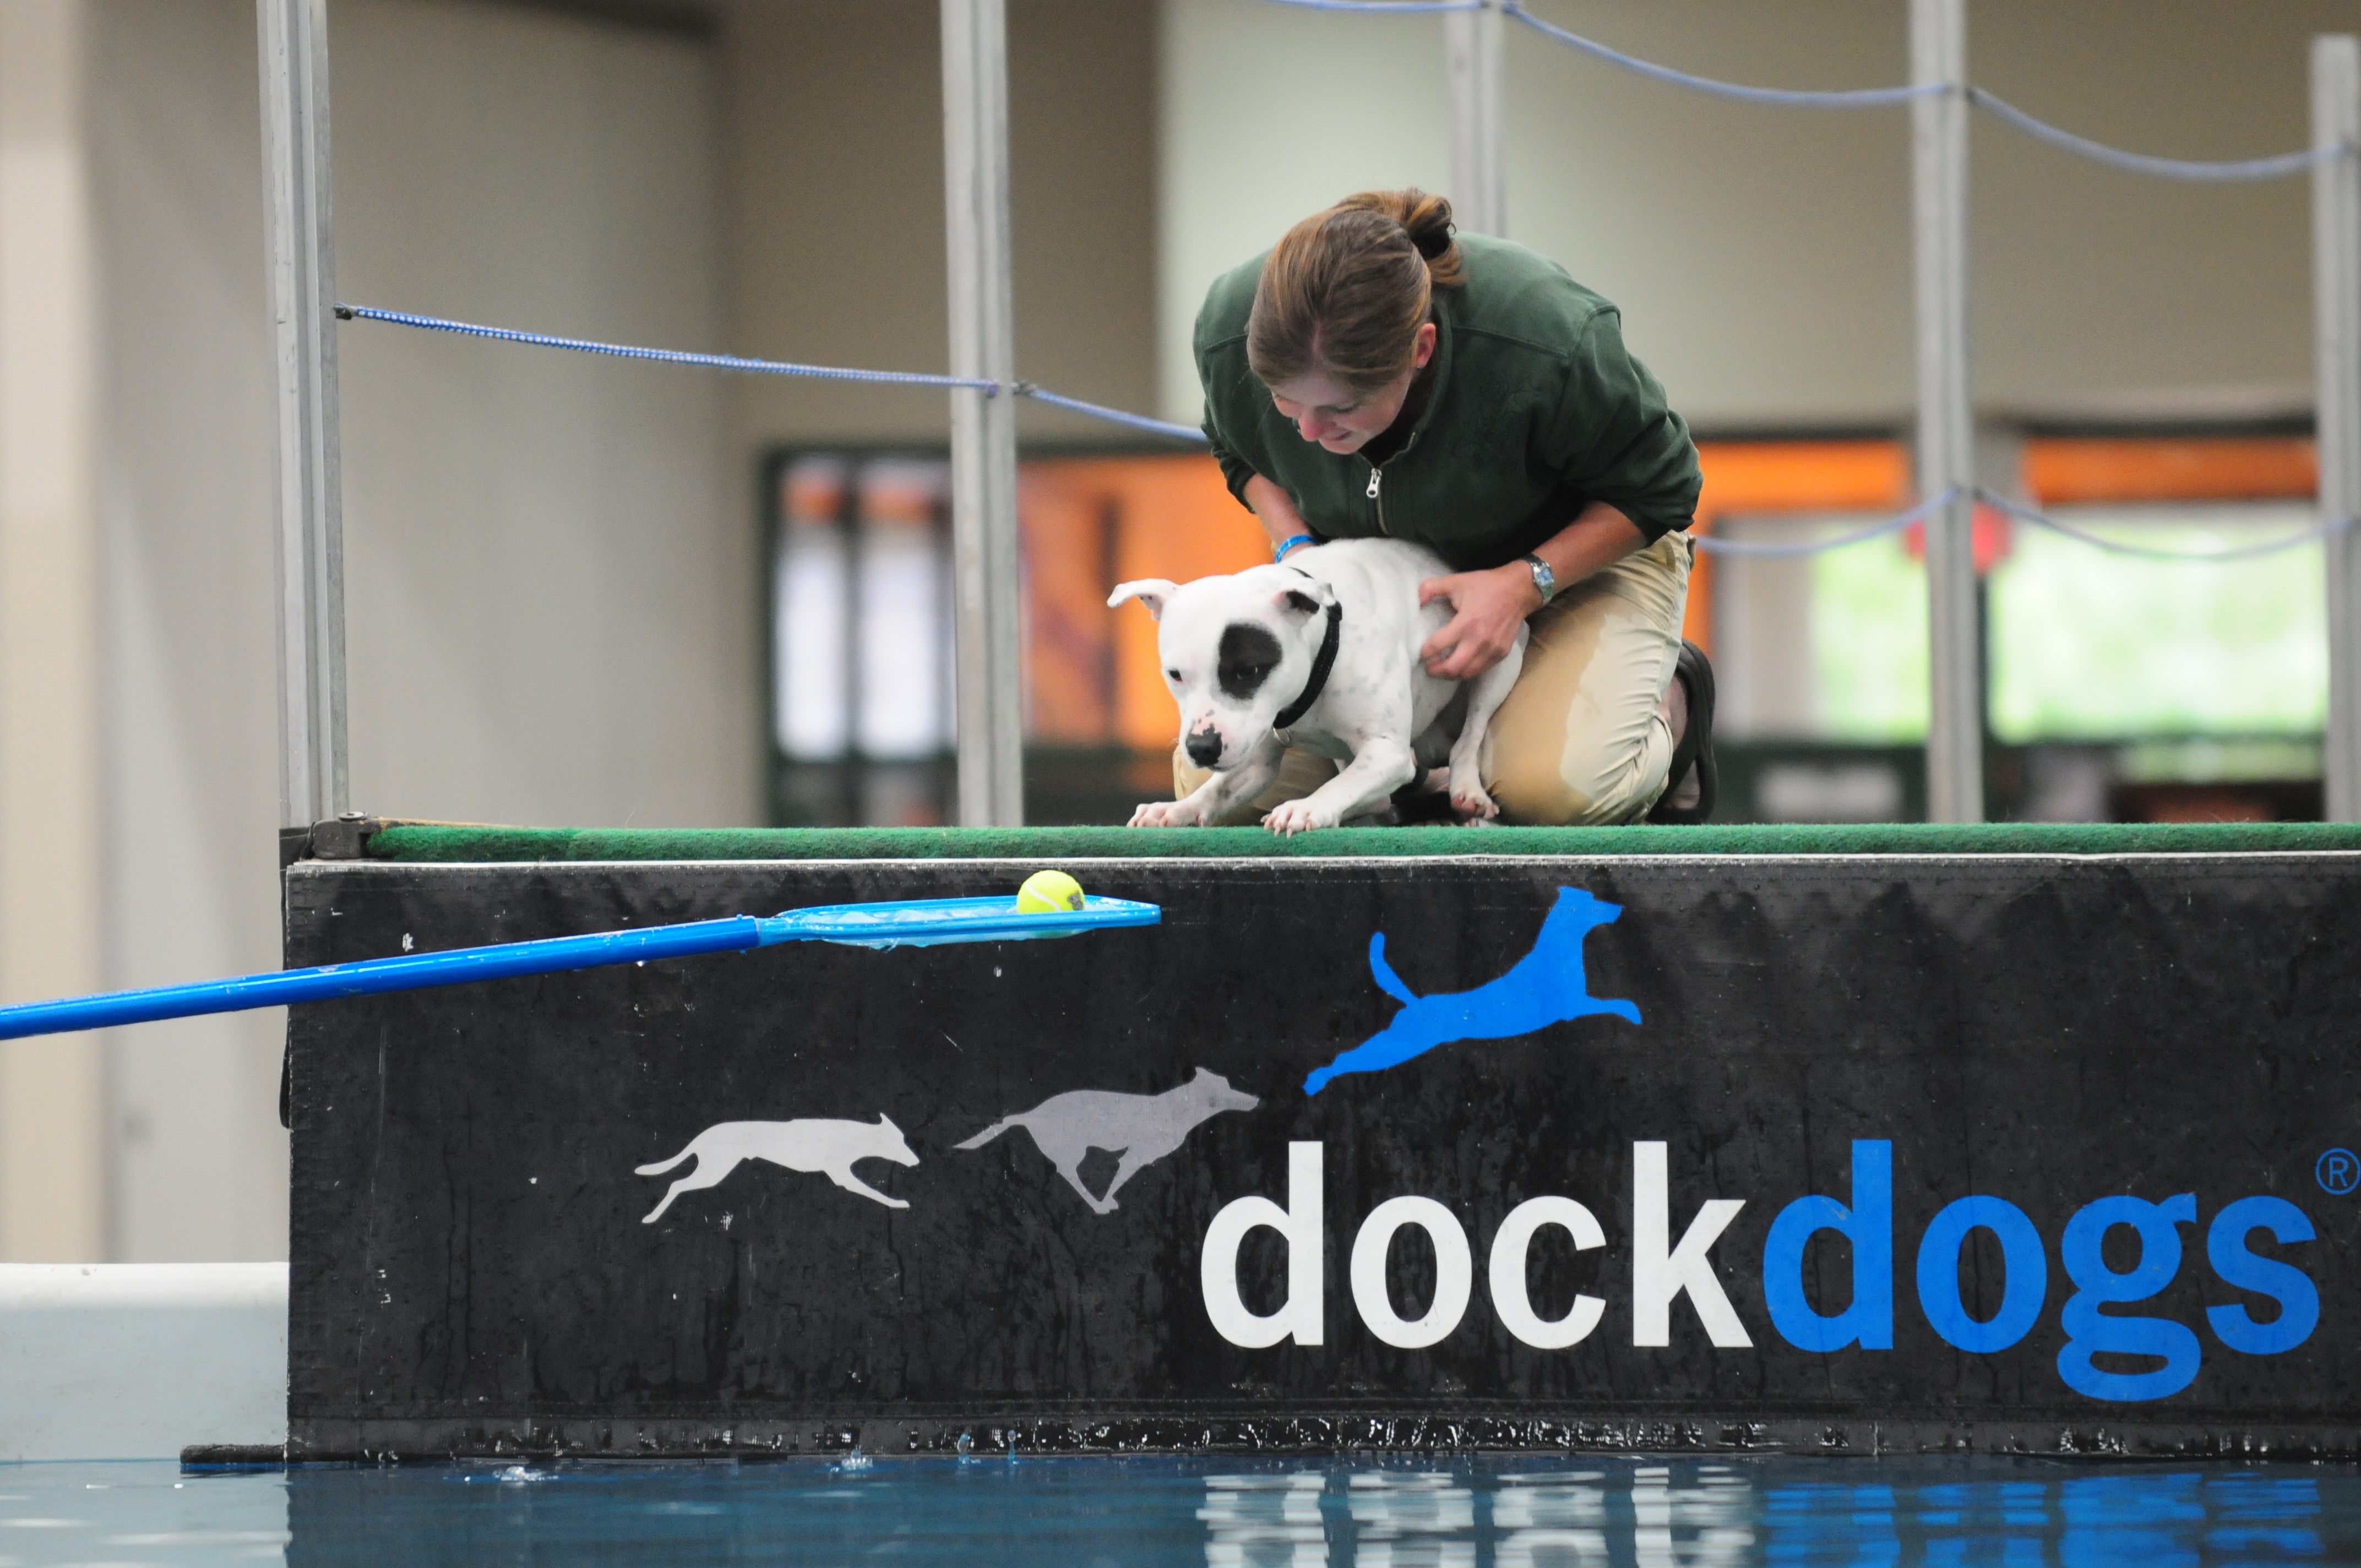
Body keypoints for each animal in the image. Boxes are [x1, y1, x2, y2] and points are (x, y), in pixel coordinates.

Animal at [1109, 538, 1520, 831]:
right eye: (1175, 675)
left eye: (1248, 671)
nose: (1202, 748)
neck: (1325, 643)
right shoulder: (1254, 759)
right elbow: (1217, 789)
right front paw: (1177, 809)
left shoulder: (1389, 753)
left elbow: (1342, 785)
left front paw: (1308, 808)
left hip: (1498, 659)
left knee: (1470, 736)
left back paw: (1468, 793)